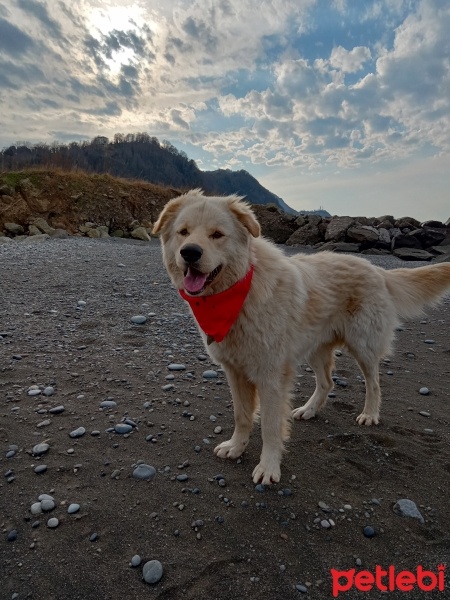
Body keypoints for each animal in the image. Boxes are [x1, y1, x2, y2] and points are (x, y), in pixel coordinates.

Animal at [154, 190, 450, 486]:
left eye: (217, 234)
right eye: (183, 232)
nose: (190, 252)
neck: (238, 291)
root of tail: (376, 269)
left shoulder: (271, 376)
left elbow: (270, 426)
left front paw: (269, 466)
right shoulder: (235, 371)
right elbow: (242, 415)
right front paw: (236, 447)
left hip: (362, 345)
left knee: (374, 383)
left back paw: (369, 414)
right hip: (314, 348)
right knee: (328, 382)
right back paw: (309, 409)